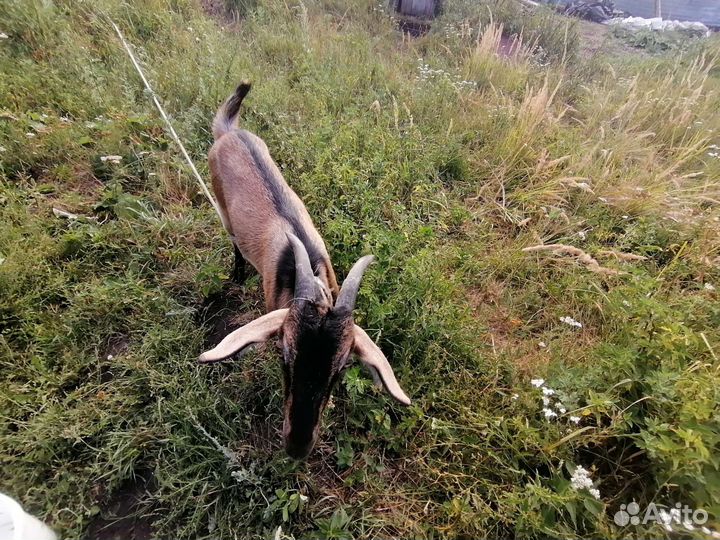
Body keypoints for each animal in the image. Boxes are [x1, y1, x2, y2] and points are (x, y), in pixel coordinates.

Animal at [199, 83, 411, 460]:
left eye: (341, 368)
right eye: (284, 354)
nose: (297, 446)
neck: (307, 270)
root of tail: (228, 132)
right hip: (222, 210)